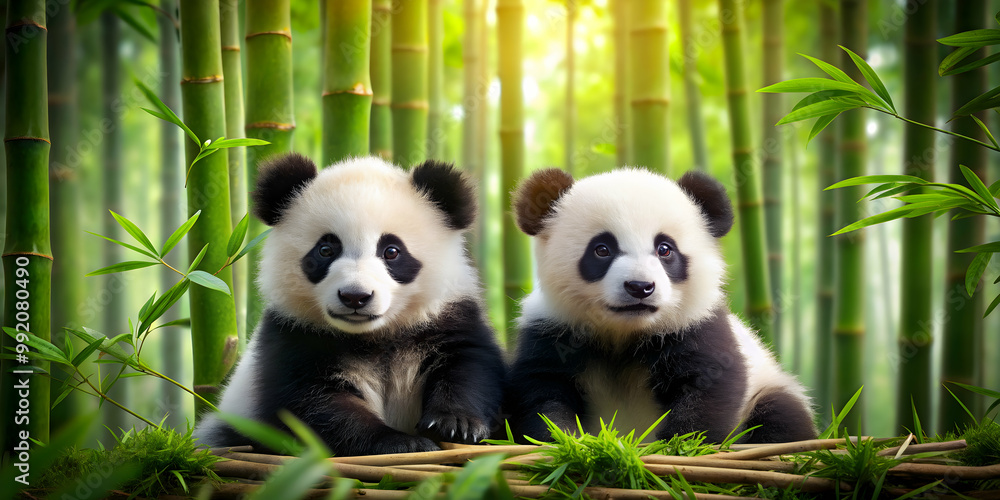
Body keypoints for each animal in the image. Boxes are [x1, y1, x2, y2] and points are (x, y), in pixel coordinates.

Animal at [194, 153, 506, 456]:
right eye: (325, 250)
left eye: (391, 251)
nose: (355, 296)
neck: (375, 336)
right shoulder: (295, 335)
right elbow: (317, 407)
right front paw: (403, 443)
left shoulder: (447, 317)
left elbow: (469, 366)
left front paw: (455, 424)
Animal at [507, 167, 816, 444]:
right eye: (602, 249)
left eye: (665, 249)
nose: (639, 287)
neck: (624, 332)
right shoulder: (552, 329)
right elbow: (544, 392)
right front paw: (567, 441)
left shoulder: (696, 324)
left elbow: (708, 386)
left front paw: (682, 444)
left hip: (768, 386)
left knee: (781, 414)